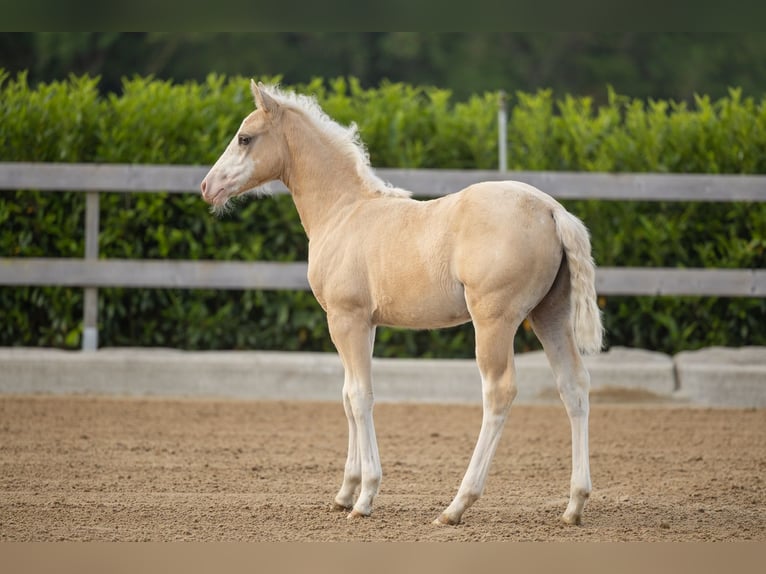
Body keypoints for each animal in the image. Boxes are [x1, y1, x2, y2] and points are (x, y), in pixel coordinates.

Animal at [200, 80, 603, 526]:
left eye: (244, 138)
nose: (207, 187)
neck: (343, 212)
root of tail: (552, 210)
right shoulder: (365, 324)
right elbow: (348, 395)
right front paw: (345, 492)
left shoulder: (345, 319)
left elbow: (361, 397)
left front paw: (364, 498)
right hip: (550, 314)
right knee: (574, 386)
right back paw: (574, 505)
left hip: (493, 322)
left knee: (498, 392)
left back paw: (456, 506)